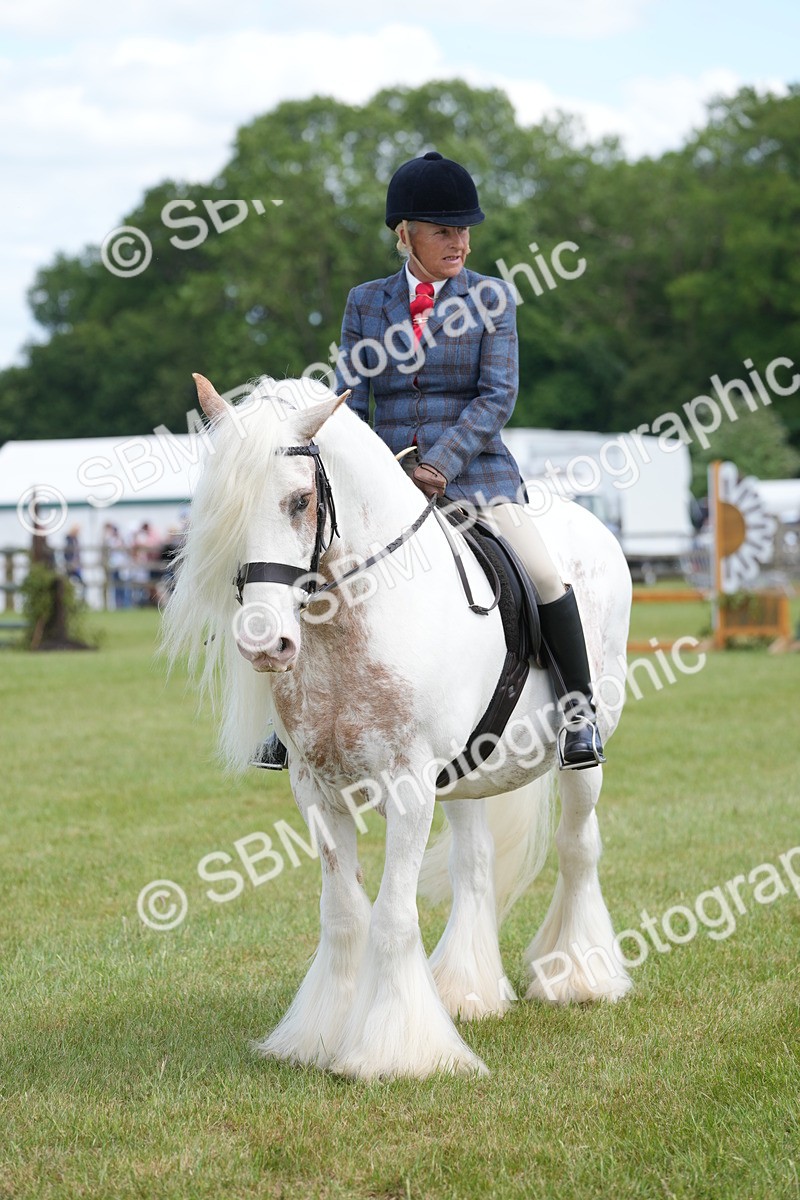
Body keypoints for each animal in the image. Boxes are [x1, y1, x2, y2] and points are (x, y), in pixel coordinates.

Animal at [162, 373, 633, 1080]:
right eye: (222, 508)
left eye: (300, 501)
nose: (264, 644)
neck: (350, 622)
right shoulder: (315, 788)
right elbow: (343, 915)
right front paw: (321, 1036)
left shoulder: (409, 787)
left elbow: (391, 917)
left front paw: (396, 1052)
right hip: (467, 774)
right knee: (474, 864)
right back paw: (466, 991)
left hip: (582, 754)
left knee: (579, 846)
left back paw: (578, 976)